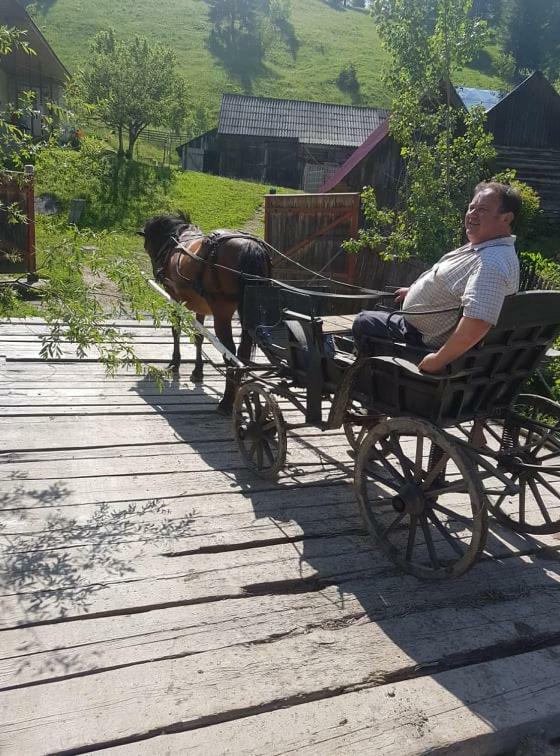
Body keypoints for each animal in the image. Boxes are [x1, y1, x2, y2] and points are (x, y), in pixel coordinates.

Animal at [139, 213, 272, 414]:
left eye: (148, 241)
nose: (156, 269)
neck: (177, 238)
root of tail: (250, 247)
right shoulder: (200, 306)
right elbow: (198, 337)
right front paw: (197, 371)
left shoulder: (173, 297)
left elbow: (176, 329)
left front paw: (175, 362)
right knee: (242, 352)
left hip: (222, 313)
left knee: (230, 353)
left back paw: (226, 402)